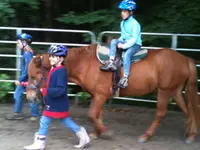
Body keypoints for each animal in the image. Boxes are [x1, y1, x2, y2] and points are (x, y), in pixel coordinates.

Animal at [25, 44, 200, 144]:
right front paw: (97, 133)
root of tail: (185, 59)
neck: (85, 63)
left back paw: (146, 136)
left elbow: (91, 115)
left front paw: (106, 132)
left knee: (161, 113)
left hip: (164, 91)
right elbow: (96, 115)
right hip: (175, 91)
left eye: (33, 76)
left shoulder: (100, 95)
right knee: (189, 111)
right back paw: (191, 135)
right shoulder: (97, 95)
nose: (29, 97)